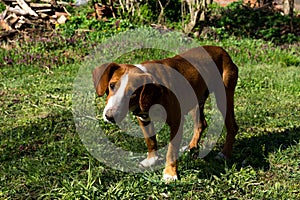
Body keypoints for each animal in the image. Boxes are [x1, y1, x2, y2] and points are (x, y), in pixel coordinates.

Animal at [92, 46, 238, 180]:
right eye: (111, 85)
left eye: (132, 93)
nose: (109, 117)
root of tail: (222, 51)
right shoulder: (144, 119)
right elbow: (150, 140)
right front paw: (152, 160)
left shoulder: (176, 122)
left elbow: (171, 151)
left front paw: (170, 174)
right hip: (196, 101)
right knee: (201, 123)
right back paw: (191, 147)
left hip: (223, 98)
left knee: (232, 127)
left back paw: (224, 154)